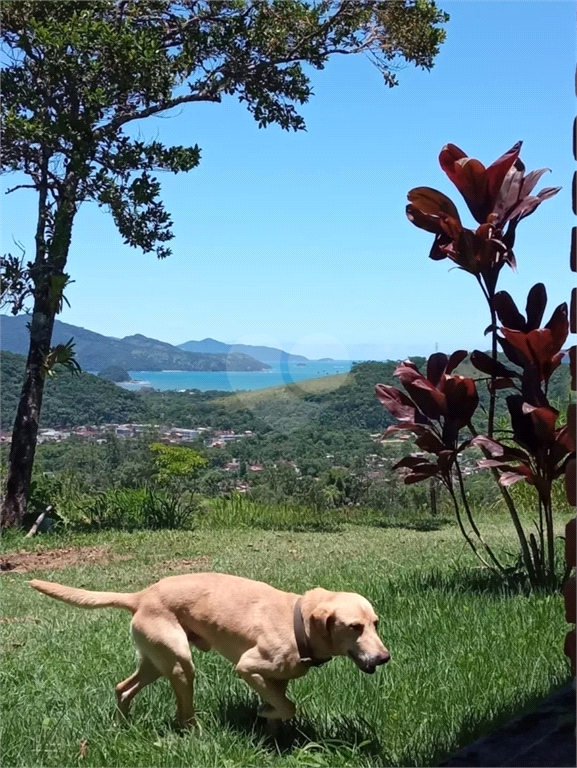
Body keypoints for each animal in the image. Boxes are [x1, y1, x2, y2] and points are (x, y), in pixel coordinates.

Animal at [31, 576, 392, 728]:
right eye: (354, 627)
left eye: (375, 623)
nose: (384, 658)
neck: (297, 624)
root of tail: (141, 595)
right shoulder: (247, 667)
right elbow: (288, 707)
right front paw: (266, 715)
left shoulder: (277, 680)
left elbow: (281, 706)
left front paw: (271, 727)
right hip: (180, 664)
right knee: (182, 715)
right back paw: (193, 732)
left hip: (156, 662)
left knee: (123, 688)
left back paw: (124, 725)